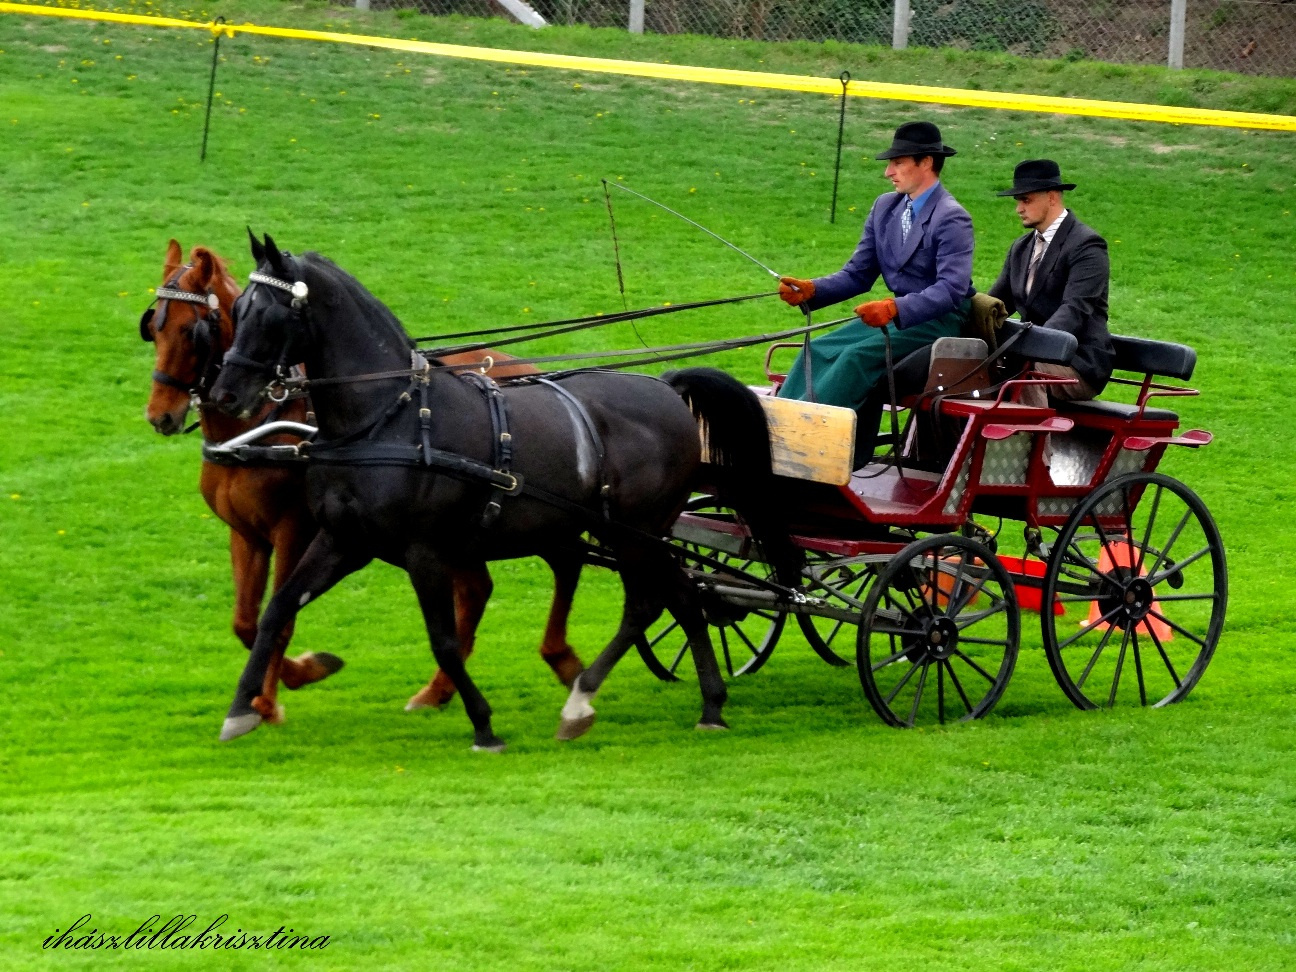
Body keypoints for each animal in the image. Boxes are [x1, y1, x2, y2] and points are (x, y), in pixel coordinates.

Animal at [139, 241, 580, 720]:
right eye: (153, 327)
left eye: (191, 331)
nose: (160, 415)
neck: (262, 425)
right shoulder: (247, 533)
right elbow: (246, 622)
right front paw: (277, 686)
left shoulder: (296, 529)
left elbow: (280, 617)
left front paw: (271, 698)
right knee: (480, 588)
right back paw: (441, 689)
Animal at [207, 238, 793, 751]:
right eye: (237, 307)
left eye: (271, 314)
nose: (225, 394)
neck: (388, 418)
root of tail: (666, 388)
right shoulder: (343, 541)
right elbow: (277, 610)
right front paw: (240, 710)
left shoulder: (424, 552)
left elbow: (443, 641)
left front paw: (483, 725)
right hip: (629, 532)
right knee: (683, 600)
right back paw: (705, 703)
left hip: (636, 532)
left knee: (653, 602)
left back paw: (586, 700)